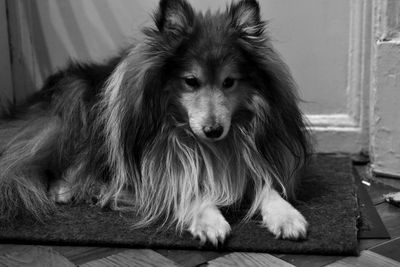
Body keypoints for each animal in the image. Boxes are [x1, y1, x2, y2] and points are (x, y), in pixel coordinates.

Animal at [0, 0, 310, 246]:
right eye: (191, 81)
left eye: (229, 81)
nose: (213, 131)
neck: (206, 147)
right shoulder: (155, 169)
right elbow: (185, 185)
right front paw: (209, 221)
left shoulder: (249, 159)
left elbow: (266, 186)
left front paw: (287, 216)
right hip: (78, 110)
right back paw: (66, 188)